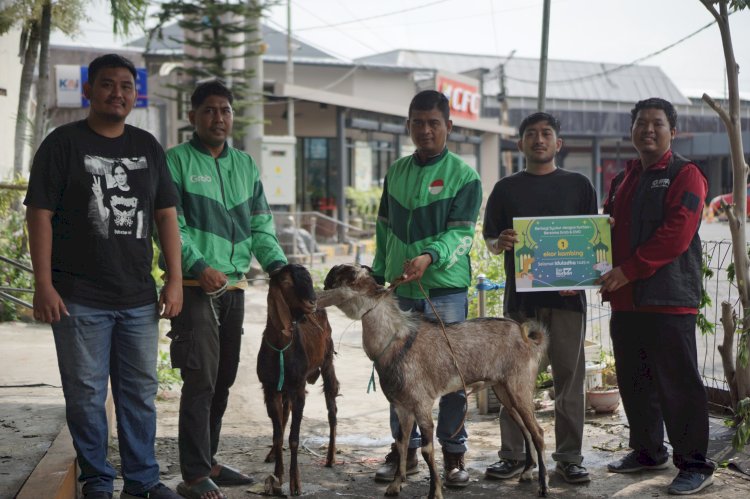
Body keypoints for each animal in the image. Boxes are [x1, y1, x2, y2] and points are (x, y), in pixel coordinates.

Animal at [258, 264, 340, 498]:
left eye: (309, 279)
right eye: (286, 281)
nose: (312, 302)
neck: (281, 347)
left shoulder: (299, 389)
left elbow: (294, 438)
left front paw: (295, 484)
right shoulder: (270, 389)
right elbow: (278, 434)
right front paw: (277, 476)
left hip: (327, 361)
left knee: (332, 410)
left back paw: (331, 457)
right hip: (284, 389)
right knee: (284, 415)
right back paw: (272, 454)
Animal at [318, 264, 552, 498]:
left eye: (345, 276)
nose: (321, 287)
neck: (396, 341)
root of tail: (528, 340)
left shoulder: (422, 404)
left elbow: (427, 450)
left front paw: (435, 491)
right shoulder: (402, 406)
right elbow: (401, 443)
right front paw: (395, 485)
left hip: (519, 386)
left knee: (538, 433)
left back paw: (543, 485)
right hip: (503, 389)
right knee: (526, 429)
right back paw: (526, 473)